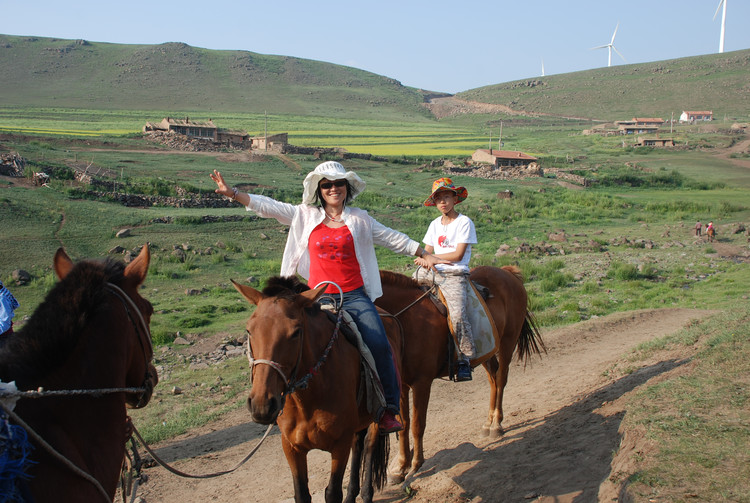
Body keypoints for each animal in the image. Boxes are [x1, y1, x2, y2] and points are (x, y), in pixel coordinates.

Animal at [234, 278, 406, 503]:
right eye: (249, 330)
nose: (262, 405)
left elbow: (332, 492)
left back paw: (366, 494)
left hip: (377, 416)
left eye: (296, 332)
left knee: (369, 446)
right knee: (358, 445)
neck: (308, 400)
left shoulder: (339, 445)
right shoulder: (291, 447)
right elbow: (301, 493)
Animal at [376, 266, 548, 482]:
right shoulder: (403, 385)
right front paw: (400, 467)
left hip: (508, 342)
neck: (406, 319)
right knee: (493, 379)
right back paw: (488, 423)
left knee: (501, 380)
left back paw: (496, 425)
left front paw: (415, 465)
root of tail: (508, 272)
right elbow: (404, 424)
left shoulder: (422, 383)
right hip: (487, 352)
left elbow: (417, 424)